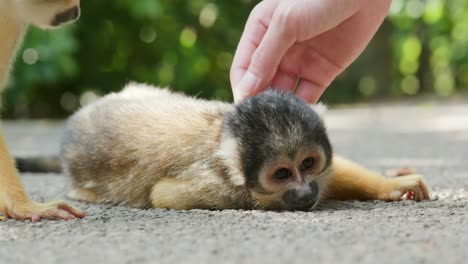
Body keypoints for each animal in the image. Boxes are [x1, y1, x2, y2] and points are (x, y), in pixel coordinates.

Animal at [60, 84, 430, 210]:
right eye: (282, 174)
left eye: (307, 165)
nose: (305, 191)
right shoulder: (216, 185)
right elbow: (163, 195)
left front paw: (392, 184)